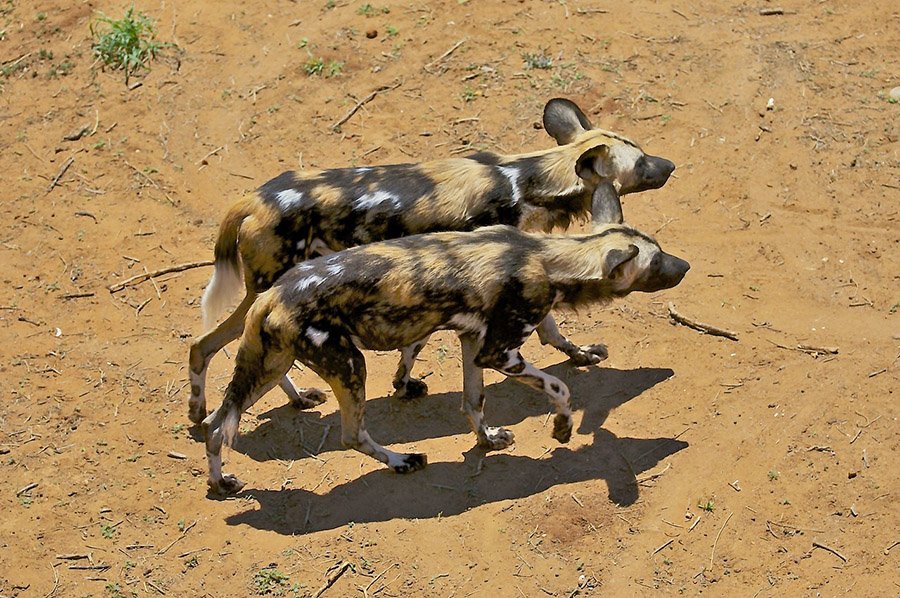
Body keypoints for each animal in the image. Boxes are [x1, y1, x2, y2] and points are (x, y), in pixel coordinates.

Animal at [188, 98, 676, 424]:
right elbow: (429, 344)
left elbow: (545, 332)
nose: (671, 165)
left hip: (265, 293)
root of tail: (254, 198)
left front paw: (579, 353)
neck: (524, 181)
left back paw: (259, 403)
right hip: (274, 287)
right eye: (642, 163)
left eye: (643, 150)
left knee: (207, 344)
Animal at [200, 188, 684, 496]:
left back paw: (221, 484)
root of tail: (273, 294)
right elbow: (560, 387)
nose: (686, 265)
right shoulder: (501, 353)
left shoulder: (474, 343)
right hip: (349, 365)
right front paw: (562, 429)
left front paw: (488, 439)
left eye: (659, 249)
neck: (544, 258)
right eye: (657, 262)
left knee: (216, 425)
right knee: (350, 435)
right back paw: (401, 461)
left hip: (272, 363)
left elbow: (474, 402)